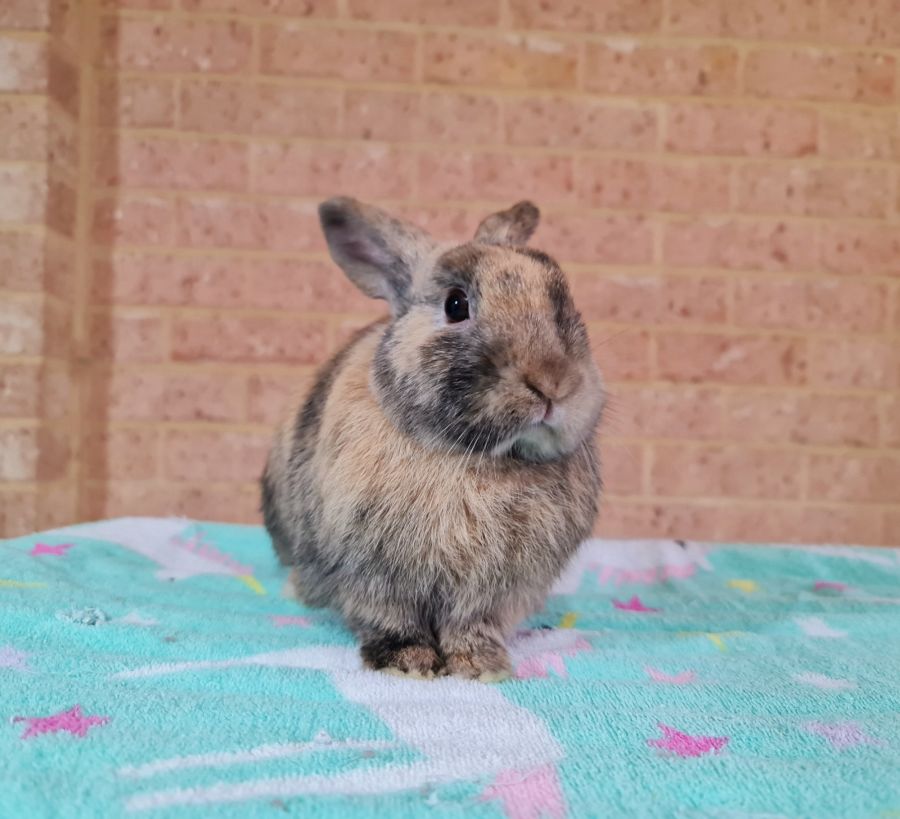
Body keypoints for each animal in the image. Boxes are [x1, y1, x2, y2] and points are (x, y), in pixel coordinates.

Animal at [261, 197, 605, 681]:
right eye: (456, 304)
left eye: (562, 299)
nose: (553, 383)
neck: (468, 455)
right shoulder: (376, 576)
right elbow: (393, 619)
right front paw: (407, 665)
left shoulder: (492, 593)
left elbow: (470, 627)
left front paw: (480, 668)